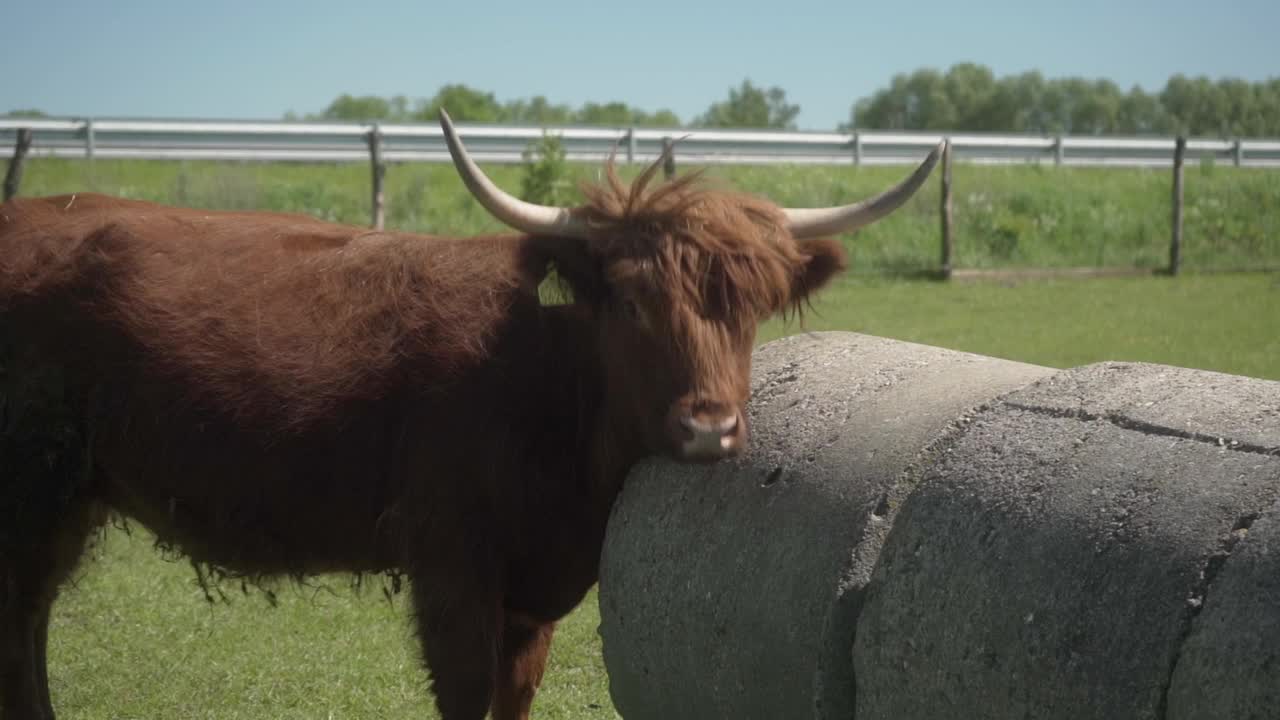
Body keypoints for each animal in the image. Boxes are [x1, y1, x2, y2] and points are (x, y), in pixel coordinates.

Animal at [0, 110, 942, 712]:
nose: (708, 429)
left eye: (749, 307)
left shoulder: (533, 596)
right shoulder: (451, 566)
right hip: (31, 502)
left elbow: (512, 697)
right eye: (631, 303)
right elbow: (464, 693)